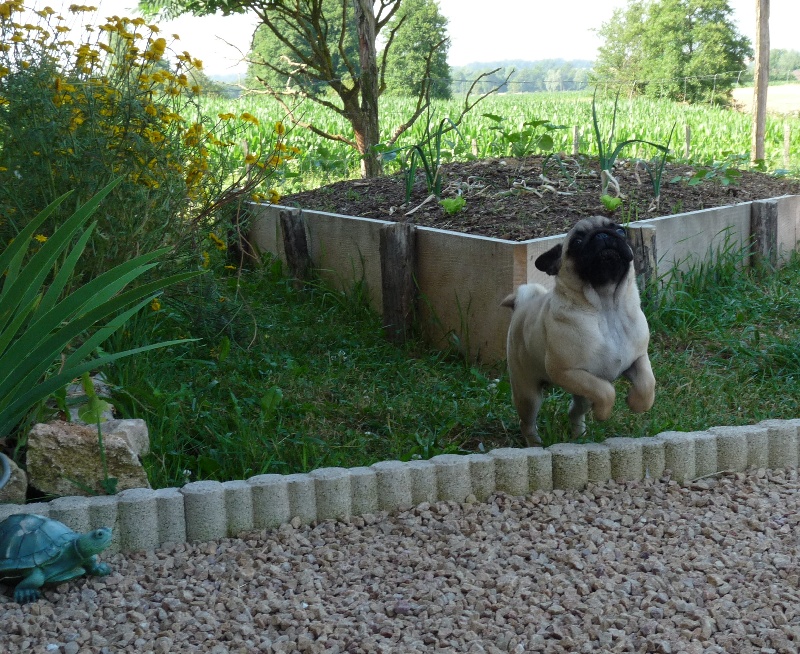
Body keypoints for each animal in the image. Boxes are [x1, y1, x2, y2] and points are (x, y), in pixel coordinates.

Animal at [504, 215, 652, 446]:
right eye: (577, 242)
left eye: (620, 231)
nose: (602, 235)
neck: (606, 307)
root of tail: (522, 304)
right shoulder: (568, 372)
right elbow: (606, 390)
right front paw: (603, 413)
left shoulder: (639, 358)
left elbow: (647, 385)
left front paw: (636, 403)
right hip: (528, 393)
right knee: (527, 422)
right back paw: (536, 444)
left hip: (581, 395)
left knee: (574, 411)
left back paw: (579, 436)